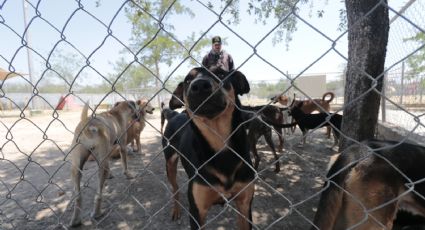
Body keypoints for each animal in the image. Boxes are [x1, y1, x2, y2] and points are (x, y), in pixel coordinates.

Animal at [162, 67, 255, 229]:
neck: (220, 146)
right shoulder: (197, 211)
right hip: (170, 163)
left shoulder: (245, 204)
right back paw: (176, 210)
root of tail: (174, 114)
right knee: (175, 189)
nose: (199, 86)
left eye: (221, 74)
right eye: (188, 80)